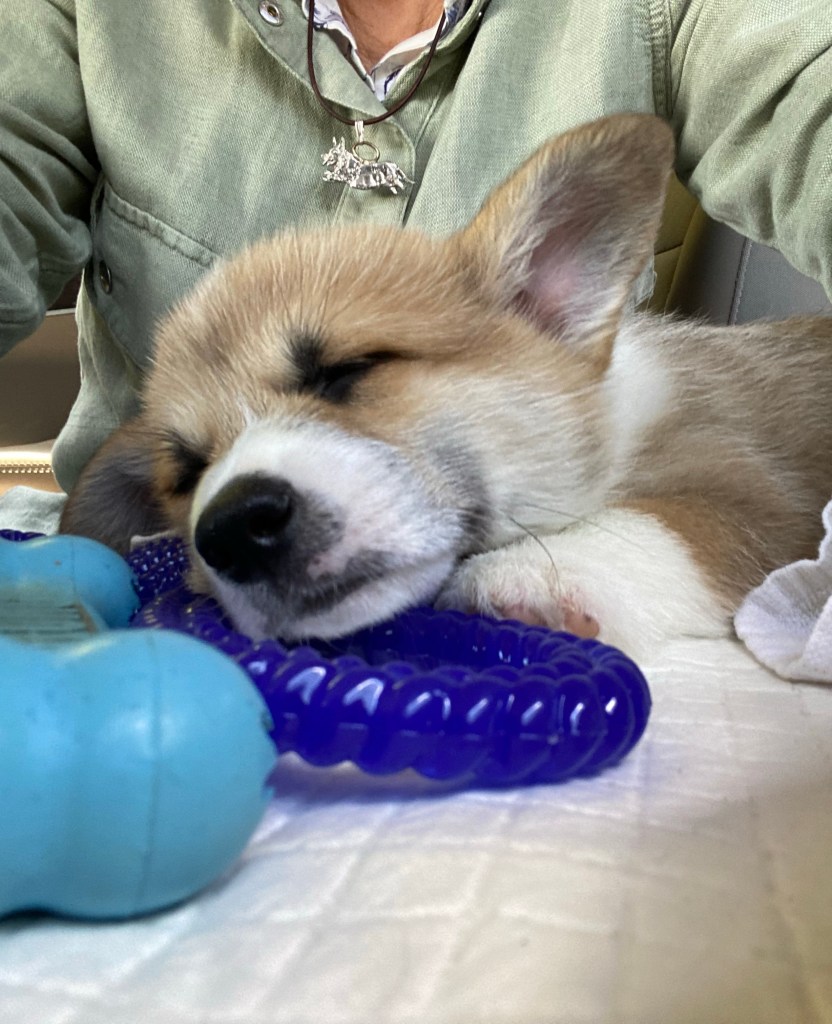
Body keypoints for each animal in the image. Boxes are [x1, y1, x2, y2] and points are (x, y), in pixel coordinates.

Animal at [60, 114, 832, 658]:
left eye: (348, 370)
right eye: (188, 472)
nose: (231, 529)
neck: (613, 421)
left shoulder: (759, 490)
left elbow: (664, 524)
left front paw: (531, 576)